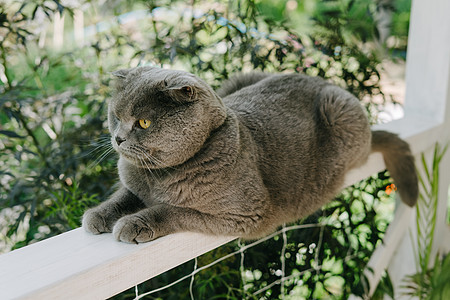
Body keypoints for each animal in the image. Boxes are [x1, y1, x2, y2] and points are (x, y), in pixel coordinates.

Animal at [81, 66, 418, 244]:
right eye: (115, 116)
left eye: (143, 123)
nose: (118, 137)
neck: (157, 177)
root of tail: (321, 80)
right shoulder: (134, 183)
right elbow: (122, 196)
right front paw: (98, 215)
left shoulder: (242, 216)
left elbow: (172, 210)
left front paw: (133, 224)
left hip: (339, 110)